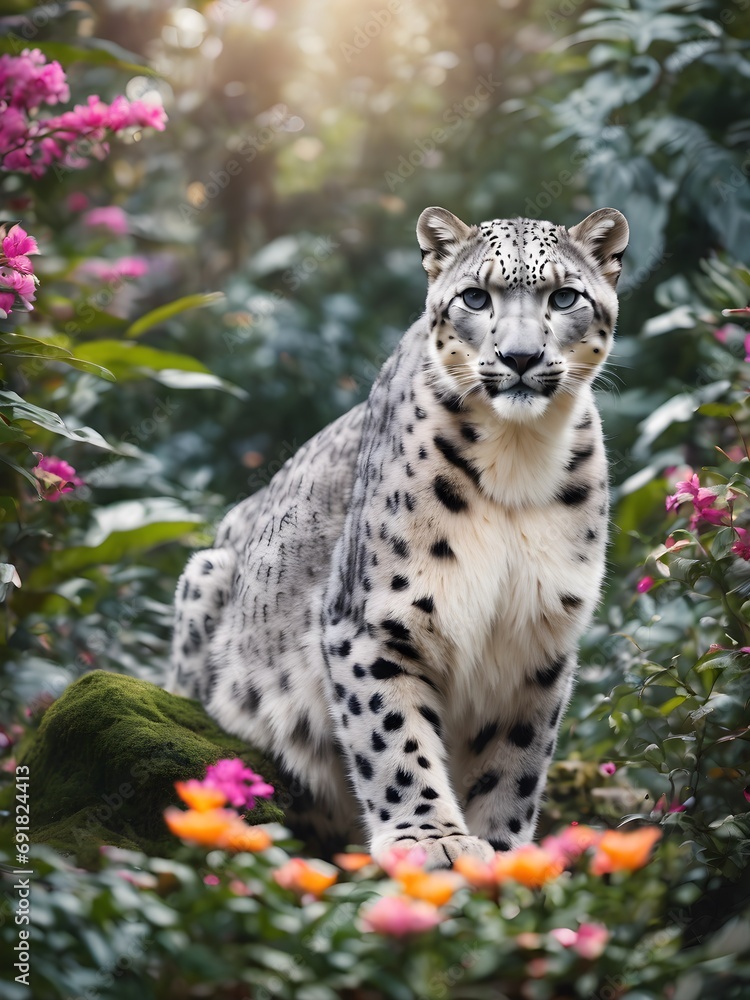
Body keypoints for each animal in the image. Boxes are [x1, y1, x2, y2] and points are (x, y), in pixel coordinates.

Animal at [167, 205, 629, 868]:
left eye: (564, 295)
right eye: (475, 296)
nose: (519, 356)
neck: (519, 462)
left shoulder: (539, 638)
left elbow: (516, 759)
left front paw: (502, 852)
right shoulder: (376, 621)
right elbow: (393, 738)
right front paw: (432, 841)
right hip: (206, 578)